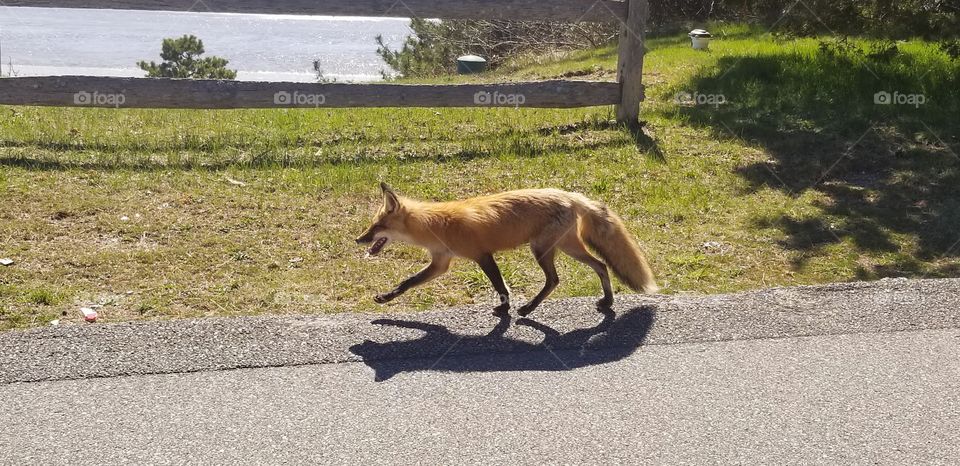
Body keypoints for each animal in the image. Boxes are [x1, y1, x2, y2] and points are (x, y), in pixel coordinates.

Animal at [356, 183, 659, 316]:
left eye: (377, 226)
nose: (359, 240)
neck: (436, 225)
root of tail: (570, 195)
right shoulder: (440, 263)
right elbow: (407, 282)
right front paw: (385, 297)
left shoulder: (481, 254)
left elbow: (500, 285)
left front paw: (505, 308)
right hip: (564, 247)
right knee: (601, 265)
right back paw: (607, 301)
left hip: (543, 249)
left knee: (555, 279)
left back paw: (528, 308)